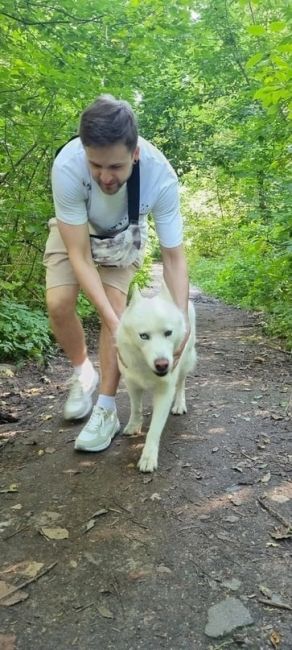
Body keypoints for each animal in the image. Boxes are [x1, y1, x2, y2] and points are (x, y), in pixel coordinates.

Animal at [116, 284, 196, 470]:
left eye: (168, 333)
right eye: (143, 336)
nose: (162, 365)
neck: (146, 368)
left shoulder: (165, 392)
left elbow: (154, 430)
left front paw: (148, 457)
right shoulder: (131, 383)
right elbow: (135, 408)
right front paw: (134, 425)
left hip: (185, 362)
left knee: (181, 384)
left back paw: (179, 404)